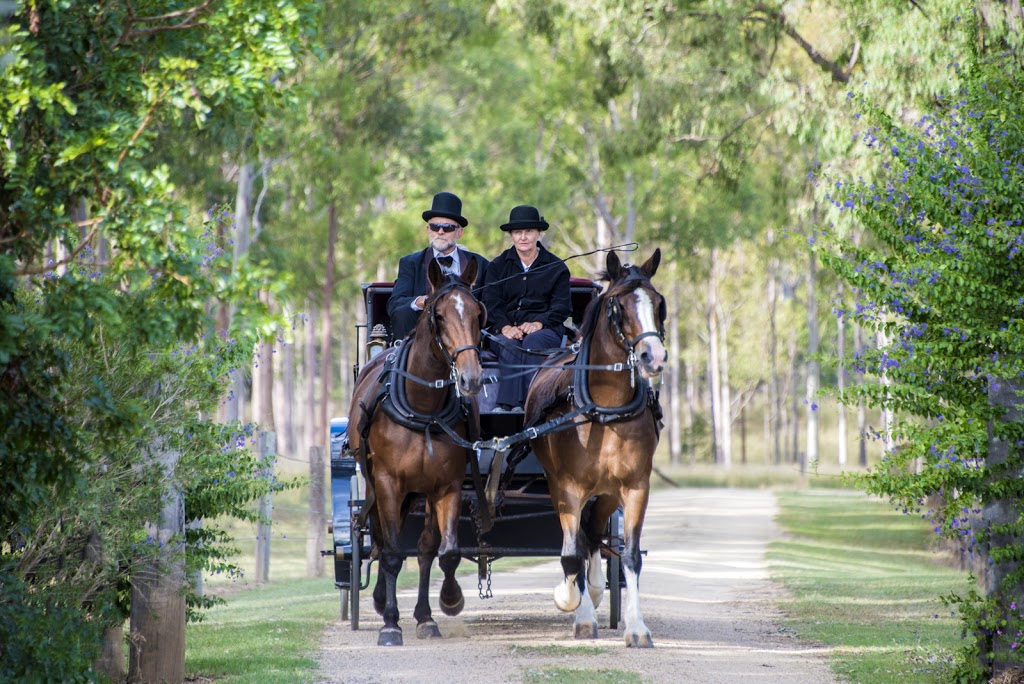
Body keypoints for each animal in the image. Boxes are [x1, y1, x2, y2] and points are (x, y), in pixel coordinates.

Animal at [346, 258, 485, 647]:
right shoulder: (388, 482)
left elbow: (442, 552)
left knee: (422, 548)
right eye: (438, 316)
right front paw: (391, 625)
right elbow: (393, 553)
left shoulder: (447, 486)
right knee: (380, 540)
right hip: (378, 485)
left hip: (416, 493)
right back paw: (381, 602)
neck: (423, 408)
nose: (471, 379)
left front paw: (445, 604)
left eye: (478, 313)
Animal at [524, 248, 667, 651]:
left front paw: (637, 628)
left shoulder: (634, 486)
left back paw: (597, 586)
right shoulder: (566, 487)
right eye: (619, 306)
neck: (605, 409)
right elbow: (570, 555)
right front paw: (574, 606)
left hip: (604, 494)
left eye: (658, 303)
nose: (654, 357)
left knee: (593, 534)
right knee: (580, 540)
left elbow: (630, 555)